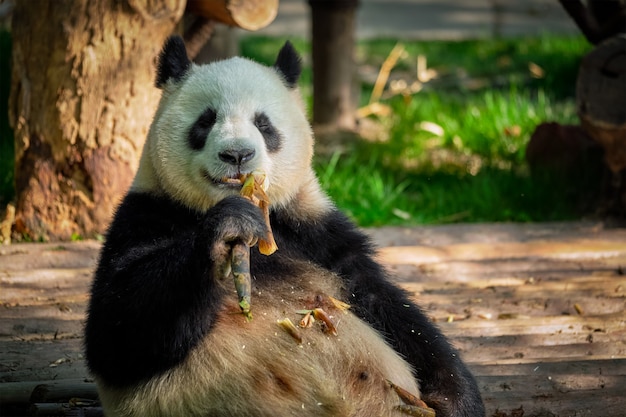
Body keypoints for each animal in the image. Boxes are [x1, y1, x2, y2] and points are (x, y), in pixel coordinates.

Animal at [84, 36, 482, 416]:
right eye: (205, 121)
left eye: (263, 124)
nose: (238, 154)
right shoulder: (144, 216)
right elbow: (116, 332)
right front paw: (228, 226)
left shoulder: (316, 232)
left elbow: (388, 307)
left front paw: (456, 398)